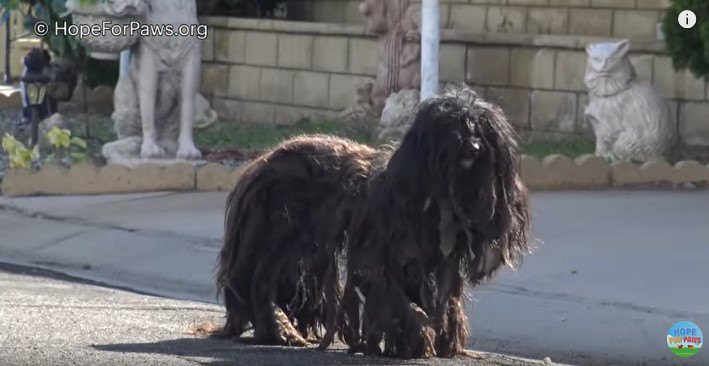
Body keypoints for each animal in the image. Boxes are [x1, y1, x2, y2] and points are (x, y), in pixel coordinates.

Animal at [216, 84, 532, 356]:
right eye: (454, 126)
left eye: (482, 130)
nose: (475, 148)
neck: (432, 193)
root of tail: (261, 161)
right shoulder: (380, 258)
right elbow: (394, 298)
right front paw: (415, 337)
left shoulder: (439, 262)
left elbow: (444, 298)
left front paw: (445, 339)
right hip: (278, 234)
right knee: (261, 282)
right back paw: (280, 330)